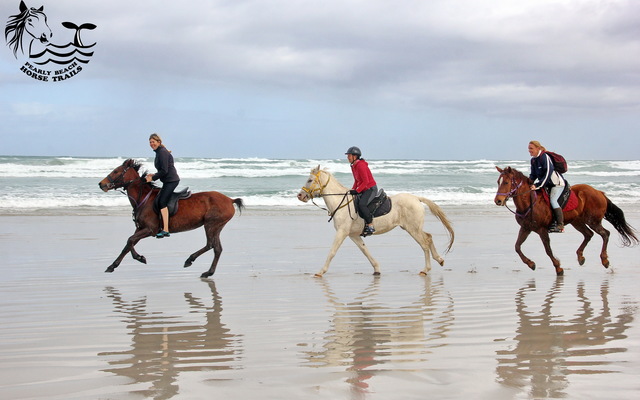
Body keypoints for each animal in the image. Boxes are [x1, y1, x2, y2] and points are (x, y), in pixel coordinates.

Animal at [99, 159, 244, 278]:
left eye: (116, 171)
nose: (101, 184)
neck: (143, 198)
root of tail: (230, 200)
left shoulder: (150, 229)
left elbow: (130, 241)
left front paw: (113, 265)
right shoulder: (141, 228)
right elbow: (130, 243)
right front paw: (139, 257)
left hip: (211, 225)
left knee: (210, 245)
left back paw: (190, 260)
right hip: (217, 226)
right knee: (217, 248)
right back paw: (208, 272)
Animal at [297, 166, 454, 277]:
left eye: (310, 180)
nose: (300, 196)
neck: (340, 202)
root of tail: (416, 198)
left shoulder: (342, 232)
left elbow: (332, 251)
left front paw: (320, 272)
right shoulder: (353, 234)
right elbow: (365, 250)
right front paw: (377, 269)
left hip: (413, 229)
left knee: (425, 243)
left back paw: (426, 269)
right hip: (412, 227)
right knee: (429, 237)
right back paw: (439, 260)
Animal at [494, 166, 638, 276]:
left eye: (506, 183)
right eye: (498, 182)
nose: (498, 201)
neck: (529, 203)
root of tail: (599, 192)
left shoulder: (542, 230)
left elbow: (548, 250)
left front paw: (558, 268)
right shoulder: (526, 228)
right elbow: (517, 247)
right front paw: (531, 264)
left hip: (593, 221)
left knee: (605, 234)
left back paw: (605, 261)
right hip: (577, 222)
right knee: (588, 234)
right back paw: (580, 257)